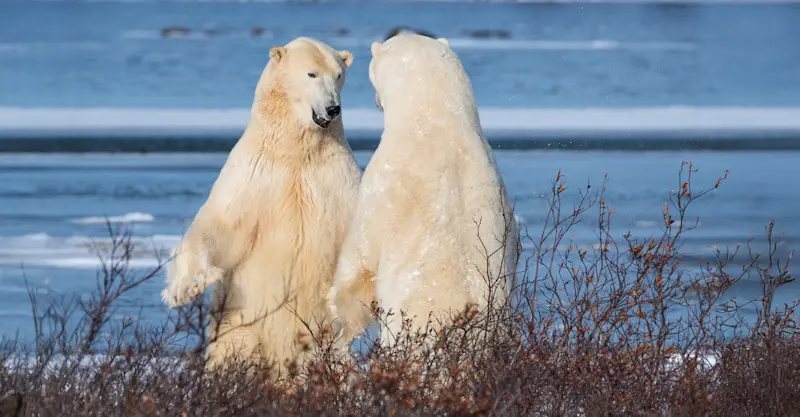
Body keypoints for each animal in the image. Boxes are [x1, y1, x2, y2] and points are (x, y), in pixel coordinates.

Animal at [161, 36, 361, 377]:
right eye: (311, 74)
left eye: (338, 75)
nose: (333, 108)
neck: (296, 152)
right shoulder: (255, 175)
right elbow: (220, 224)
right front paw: (184, 288)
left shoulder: (336, 178)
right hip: (239, 325)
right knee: (231, 354)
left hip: (326, 339)